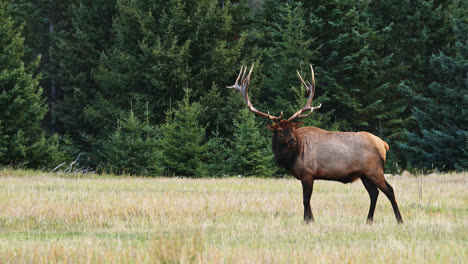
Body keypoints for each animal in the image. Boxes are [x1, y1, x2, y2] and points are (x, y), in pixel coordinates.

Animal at [227, 64, 402, 223]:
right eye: (280, 130)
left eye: (292, 128)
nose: (292, 141)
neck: (292, 158)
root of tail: (383, 144)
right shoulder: (306, 176)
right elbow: (307, 200)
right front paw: (310, 219)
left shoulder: (308, 173)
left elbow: (306, 200)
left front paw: (308, 220)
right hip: (364, 174)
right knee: (374, 193)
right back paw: (369, 220)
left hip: (374, 170)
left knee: (390, 190)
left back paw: (399, 220)